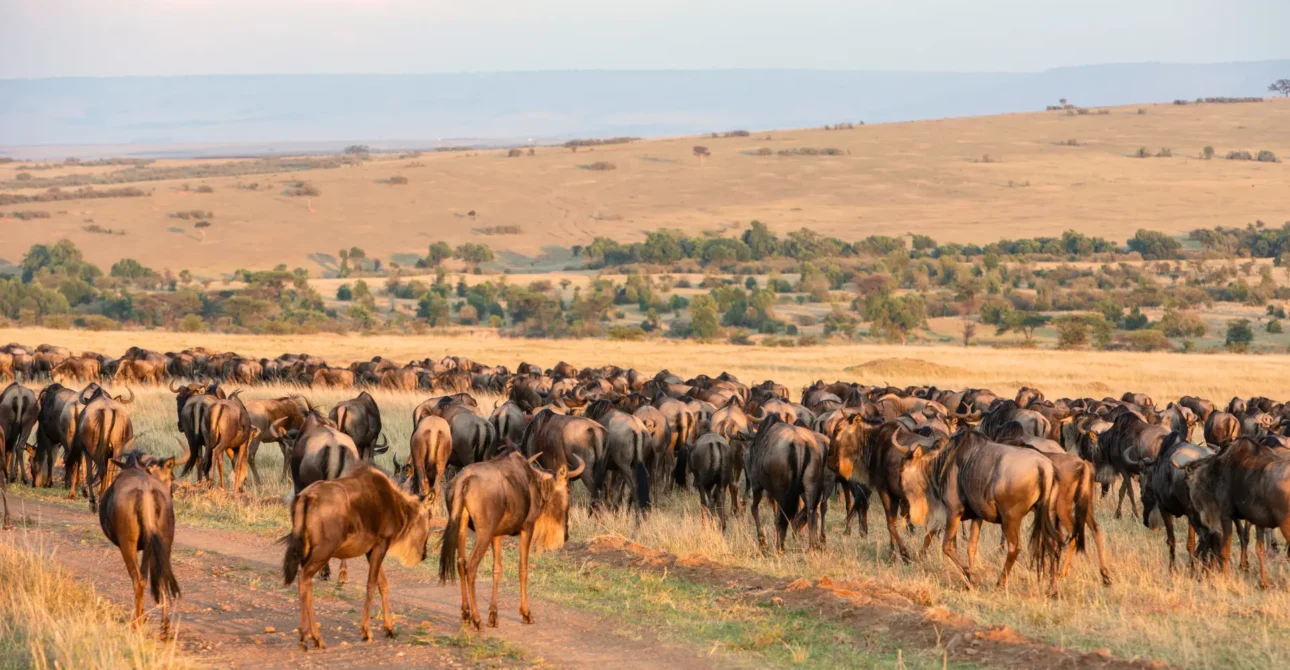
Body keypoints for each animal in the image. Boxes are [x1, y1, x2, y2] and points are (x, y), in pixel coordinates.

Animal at [99, 451, 180, 635]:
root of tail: (146, 493)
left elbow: (141, 576)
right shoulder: (149, 546)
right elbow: (147, 573)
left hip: (127, 544)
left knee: (138, 580)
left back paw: (136, 625)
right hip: (164, 541)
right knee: (161, 575)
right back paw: (165, 628)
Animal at [281, 464, 430, 648]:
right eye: (428, 519)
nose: (424, 554)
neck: (395, 502)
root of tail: (305, 497)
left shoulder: (370, 551)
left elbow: (383, 585)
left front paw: (389, 628)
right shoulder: (381, 544)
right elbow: (371, 585)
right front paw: (366, 630)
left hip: (308, 552)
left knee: (306, 584)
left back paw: (309, 636)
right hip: (323, 552)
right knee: (304, 579)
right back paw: (311, 636)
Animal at [443, 451, 585, 629]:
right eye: (568, 489)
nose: (566, 535)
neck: (535, 481)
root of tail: (463, 480)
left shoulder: (496, 535)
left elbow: (497, 569)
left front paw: (493, 616)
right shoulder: (527, 528)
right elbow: (523, 569)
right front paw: (526, 613)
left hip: (461, 527)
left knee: (461, 563)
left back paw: (465, 615)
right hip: (483, 534)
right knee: (471, 566)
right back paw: (476, 619)